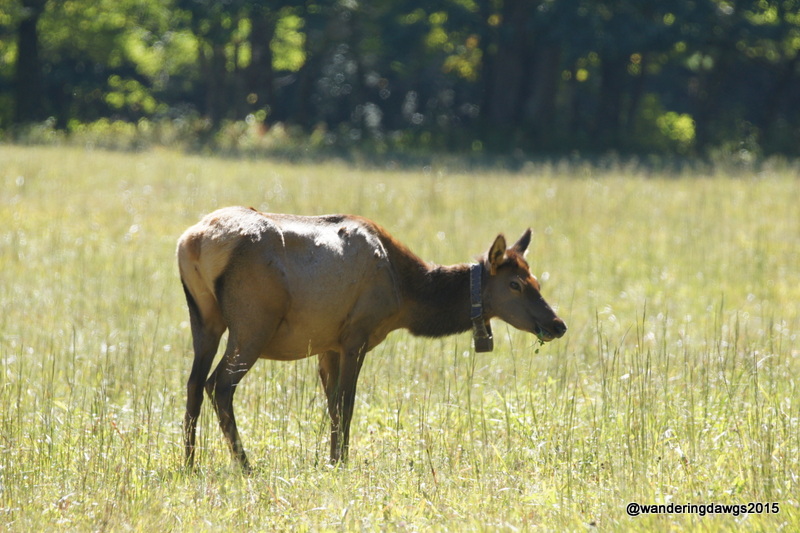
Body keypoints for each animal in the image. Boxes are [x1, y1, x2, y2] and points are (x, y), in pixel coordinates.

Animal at [177, 206, 567, 472]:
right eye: (515, 284)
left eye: (536, 281)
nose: (557, 324)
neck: (405, 294)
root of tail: (193, 242)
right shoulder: (357, 334)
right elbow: (346, 403)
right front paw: (342, 462)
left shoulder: (328, 345)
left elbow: (332, 404)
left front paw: (331, 459)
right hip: (252, 322)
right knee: (219, 385)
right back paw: (245, 465)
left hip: (204, 319)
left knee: (194, 382)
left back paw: (190, 462)